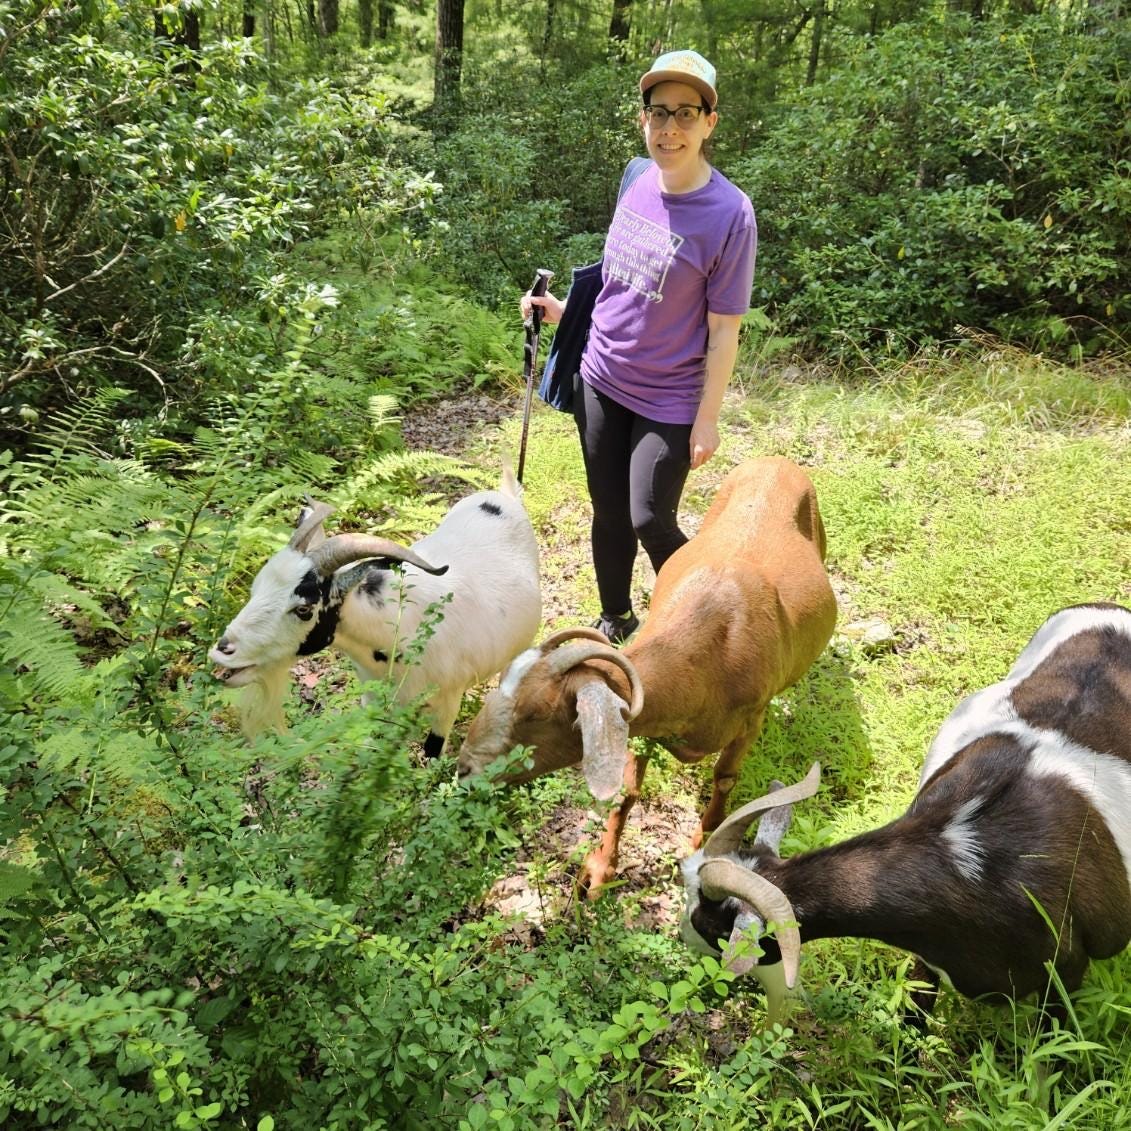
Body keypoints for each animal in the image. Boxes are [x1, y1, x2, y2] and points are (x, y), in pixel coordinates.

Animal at [209, 463, 542, 755]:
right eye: (256, 588)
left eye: (304, 609)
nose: (223, 651)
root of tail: (505, 495)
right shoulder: (373, 696)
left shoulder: (448, 702)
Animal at [456, 456, 841, 891]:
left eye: (535, 713)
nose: (464, 769)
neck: (711, 655)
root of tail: (775, 460)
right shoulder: (649, 724)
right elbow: (628, 790)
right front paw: (598, 871)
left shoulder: (749, 720)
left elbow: (725, 778)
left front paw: (702, 849)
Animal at [678, 601, 1131, 1026]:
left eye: (711, 924)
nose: (682, 935)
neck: (968, 868)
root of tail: (1107, 610)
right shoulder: (931, 957)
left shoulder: (1066, 974)